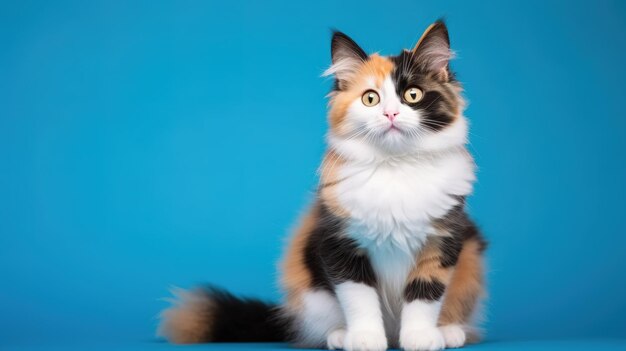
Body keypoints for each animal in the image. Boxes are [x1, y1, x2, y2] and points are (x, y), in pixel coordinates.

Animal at [157, 21, 488, 351]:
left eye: (413, 95)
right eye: (371, 99)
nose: (390, 114)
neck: (395, 167)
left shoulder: (442, 241)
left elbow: (425, 294)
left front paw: (420, 337)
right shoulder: (339, 243)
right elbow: (360, 299)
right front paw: (365, 339)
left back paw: (448, 332)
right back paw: (340, 336)